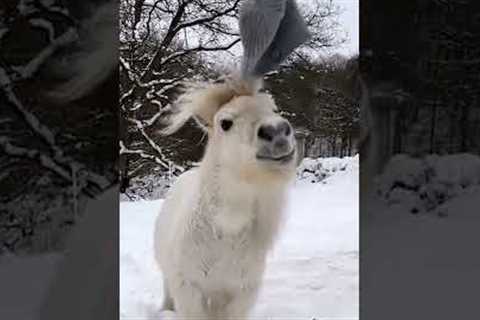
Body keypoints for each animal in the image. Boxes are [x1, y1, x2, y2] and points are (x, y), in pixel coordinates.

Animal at [155, 77, 296, 318]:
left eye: (272, 108)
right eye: (225, 123)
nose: (277, 131)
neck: (224, 233)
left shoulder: (241, 294)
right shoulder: (188, 290)